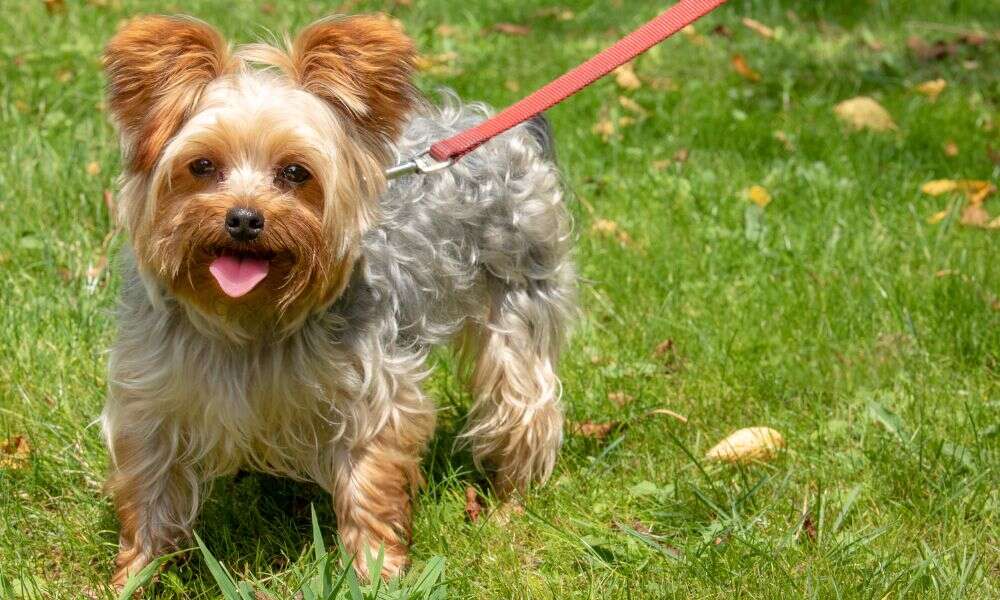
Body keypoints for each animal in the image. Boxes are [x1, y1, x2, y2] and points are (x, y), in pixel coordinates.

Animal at [102, 12, 580, 584]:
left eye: (295, 172)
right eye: (201, 166)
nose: (244, 218)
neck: (249, 316)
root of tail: (508, 134)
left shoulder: (373, 390)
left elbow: (369, 484)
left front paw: (375, 574)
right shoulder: (154, 393)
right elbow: (149, 491)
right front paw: (133, 576)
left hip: (519, 294)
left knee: (522, 398)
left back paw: (510, 504)